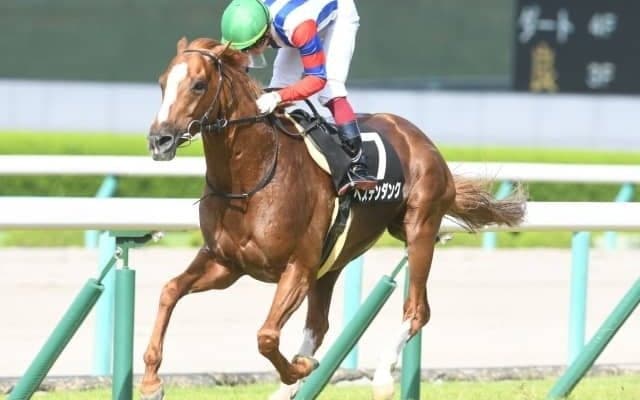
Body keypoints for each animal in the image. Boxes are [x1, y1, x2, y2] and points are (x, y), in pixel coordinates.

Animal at [141, 37, 525, 400]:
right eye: (161, 83)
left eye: (199, 85)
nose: (159, 140)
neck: (252, 177)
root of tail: (420, 139)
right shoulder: (226, 263)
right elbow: (170, 290)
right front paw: (150, 382)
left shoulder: (297, 266)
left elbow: (267, 335)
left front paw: (298, 369)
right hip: (335, 258)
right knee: (319, 323)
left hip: (419, 229)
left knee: (416, 309)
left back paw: (380, 376)